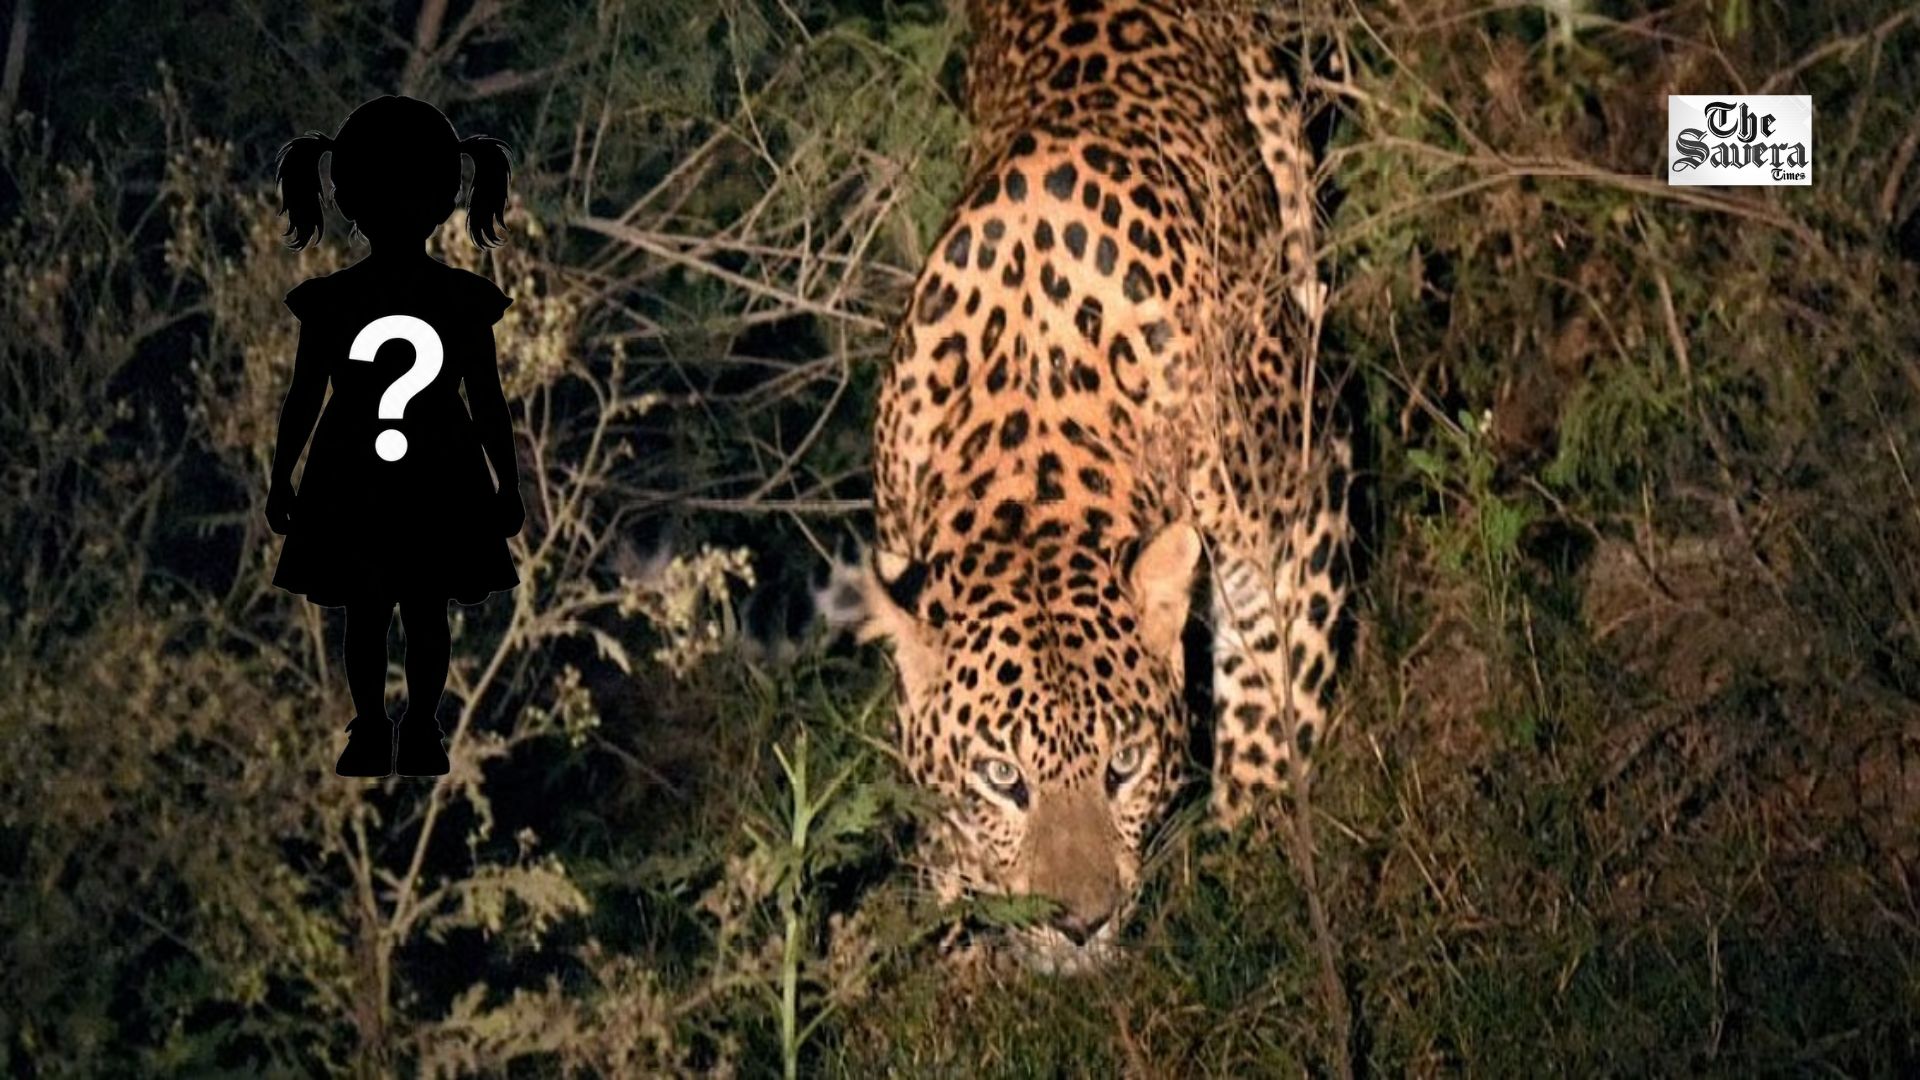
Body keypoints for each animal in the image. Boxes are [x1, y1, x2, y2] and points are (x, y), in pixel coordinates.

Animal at [826, 0, 1353, 969]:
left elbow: (1274, 685)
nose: (1080, 923)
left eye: (1125, 766)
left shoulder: (1307, 481)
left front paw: (1252, 837)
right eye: (1001, 777)